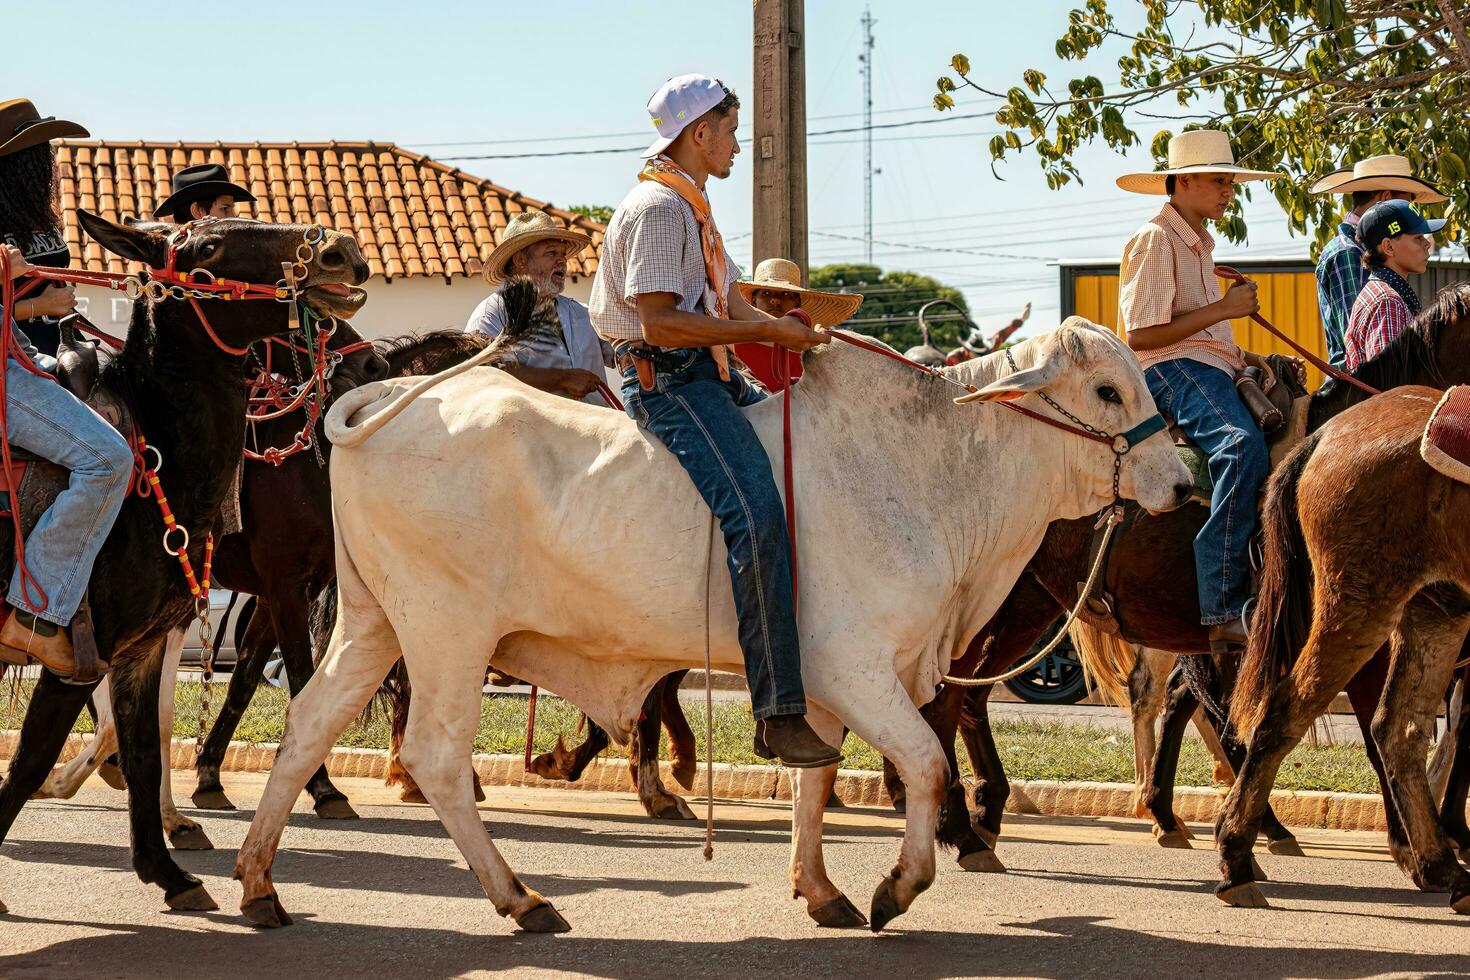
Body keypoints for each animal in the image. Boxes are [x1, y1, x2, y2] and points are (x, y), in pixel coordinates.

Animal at [1217, 387, 1470, 916]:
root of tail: (1325, 436)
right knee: (1281, 715)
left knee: (1399, 730)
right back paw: (1235, 860)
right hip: (1358, 609)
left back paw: (1443, 867)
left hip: (1437, 611)